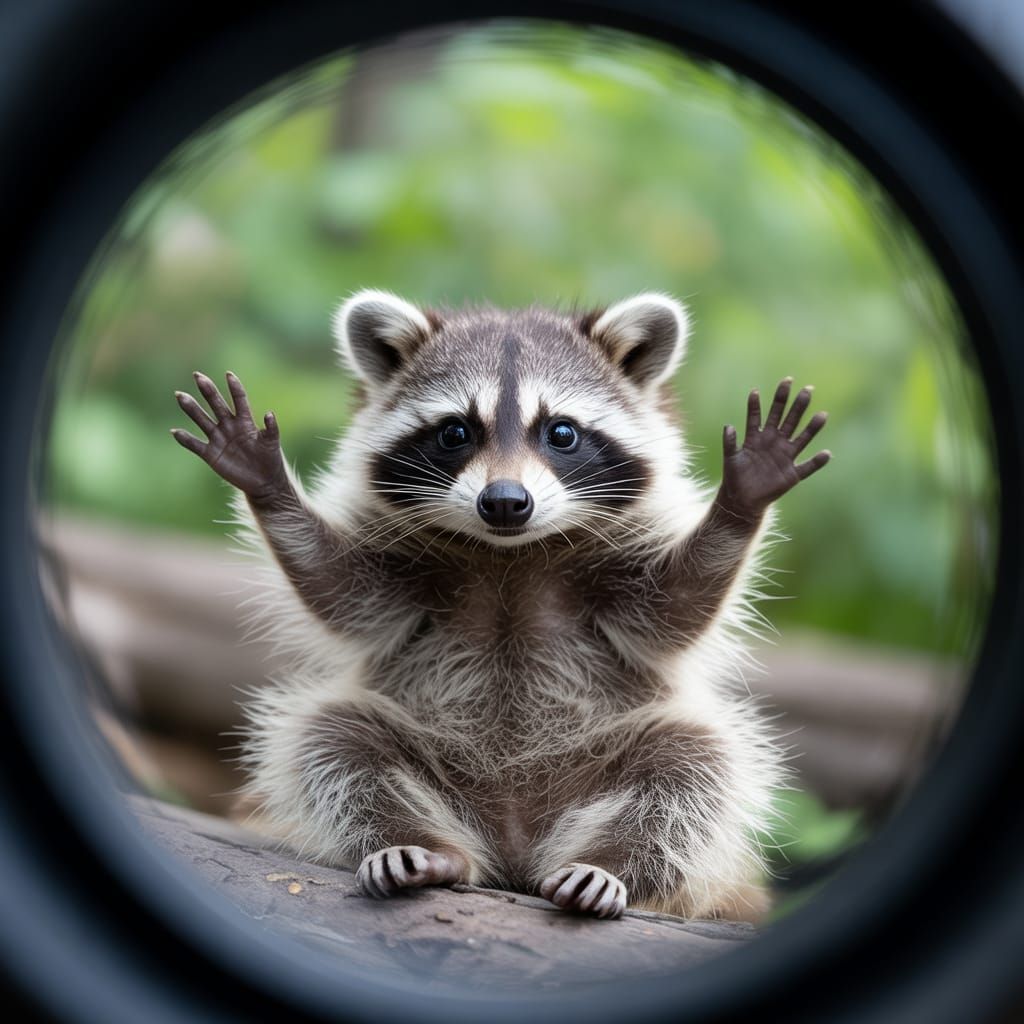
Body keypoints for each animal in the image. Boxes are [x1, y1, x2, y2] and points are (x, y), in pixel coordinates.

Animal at [172, 289, 830, 921]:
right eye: (455, 432)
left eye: (561, 432)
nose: (506, 501)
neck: (509, 554)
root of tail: (515, 850)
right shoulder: (398, 563)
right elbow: (343, 592)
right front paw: (267, 483)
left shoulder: (627, 555)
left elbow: (674, 608)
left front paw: (742, 499)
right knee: (336, 742)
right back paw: (423, 848)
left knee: (689, 767)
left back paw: (607, 865)